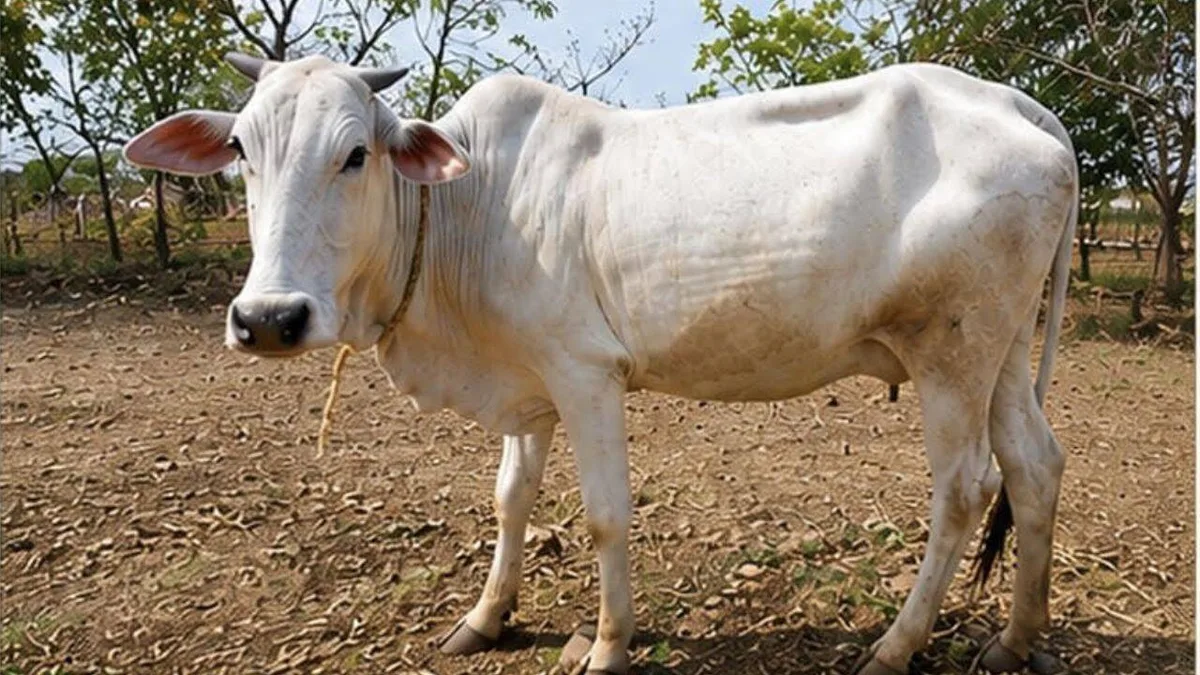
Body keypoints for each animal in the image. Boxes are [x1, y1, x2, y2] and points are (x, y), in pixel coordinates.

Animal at [124, 53, 1077, 675]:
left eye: (355, 152)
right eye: (242, 152)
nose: (268, 318)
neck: (465, 206)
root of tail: (1022, 108)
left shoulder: (585, 375)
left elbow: (604, 516)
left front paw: (611, 642)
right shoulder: (529, 389)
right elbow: (510, 500)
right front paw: (486, 616)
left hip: (952, 354)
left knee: (965, 488)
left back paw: (894, 644)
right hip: (997, 355)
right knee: (1034, 465)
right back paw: (1016, 636)